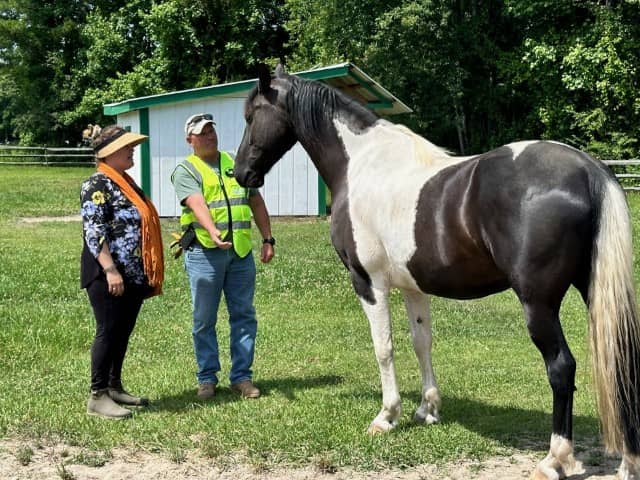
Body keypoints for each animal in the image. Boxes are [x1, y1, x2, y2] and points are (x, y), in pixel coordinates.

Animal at [234, 64, 640, 480]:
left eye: (252, 115)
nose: (240, 172)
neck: (361, 164)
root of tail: (588, 169)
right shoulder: (413, 287)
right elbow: (421, 342)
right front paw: (427, 409)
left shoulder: (369, 283)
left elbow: (384, 347)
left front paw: (387, 416)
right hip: (592, 289)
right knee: (624, 359)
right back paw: (628, 461)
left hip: (538, 304)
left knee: (561, 368)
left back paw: (554, 458)